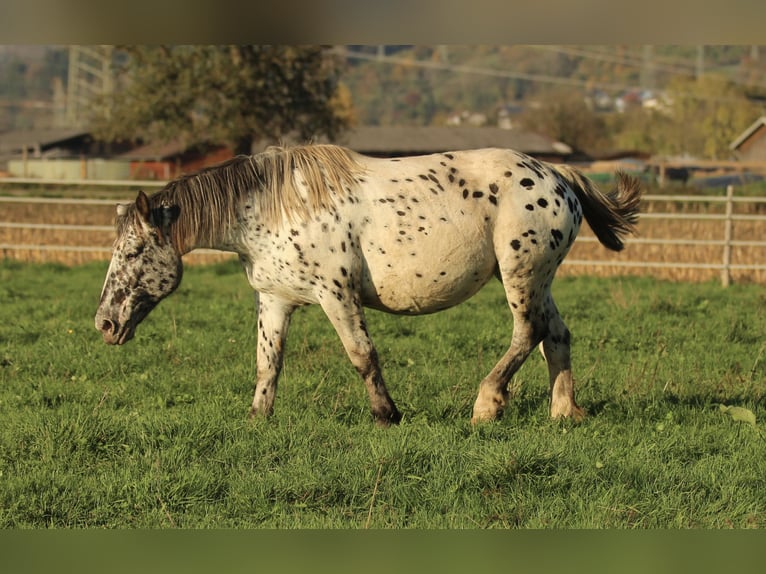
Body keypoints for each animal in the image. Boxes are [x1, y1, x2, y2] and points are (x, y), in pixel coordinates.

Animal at [94, 144, 640, 428]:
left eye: (134, 252)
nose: (105, 324)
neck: (270, 206)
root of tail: (557, 175)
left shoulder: (336, 295)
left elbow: (362, 355)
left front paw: (387, 415)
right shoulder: (274, 301)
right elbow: (267, 363)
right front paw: (257, 418)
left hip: (520, 274)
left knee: (527, 333)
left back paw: (487, 405)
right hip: (539, 278)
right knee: (556, 336)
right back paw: (564, 411)